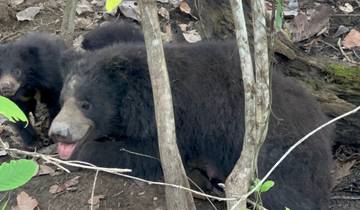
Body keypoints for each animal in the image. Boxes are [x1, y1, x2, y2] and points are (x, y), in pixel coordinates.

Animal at [49, 40, 334, 209]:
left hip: (277, 160)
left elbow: (143, 156)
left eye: (86, 104)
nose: (57, 133)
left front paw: (78, 155)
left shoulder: (180, 123)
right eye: (62, 100)